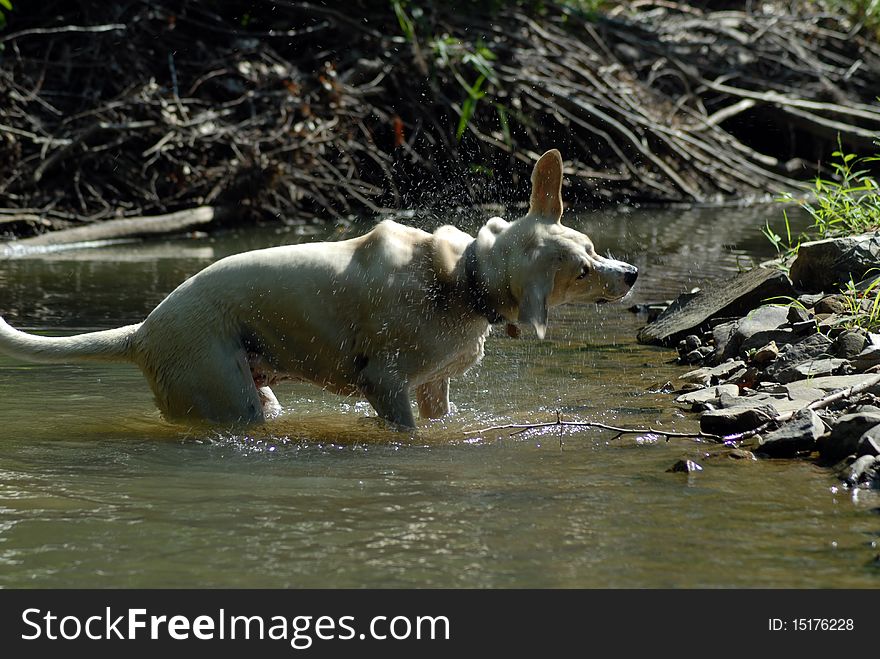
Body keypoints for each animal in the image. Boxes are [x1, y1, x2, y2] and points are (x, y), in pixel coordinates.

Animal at [0, 150, 636, 428]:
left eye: (591, 245)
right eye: (580, 270)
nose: (629, 274)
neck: (461, 279)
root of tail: (143, 330)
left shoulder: (435, 388)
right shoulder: (386, 384)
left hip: (255, 391)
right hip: (223, 398)